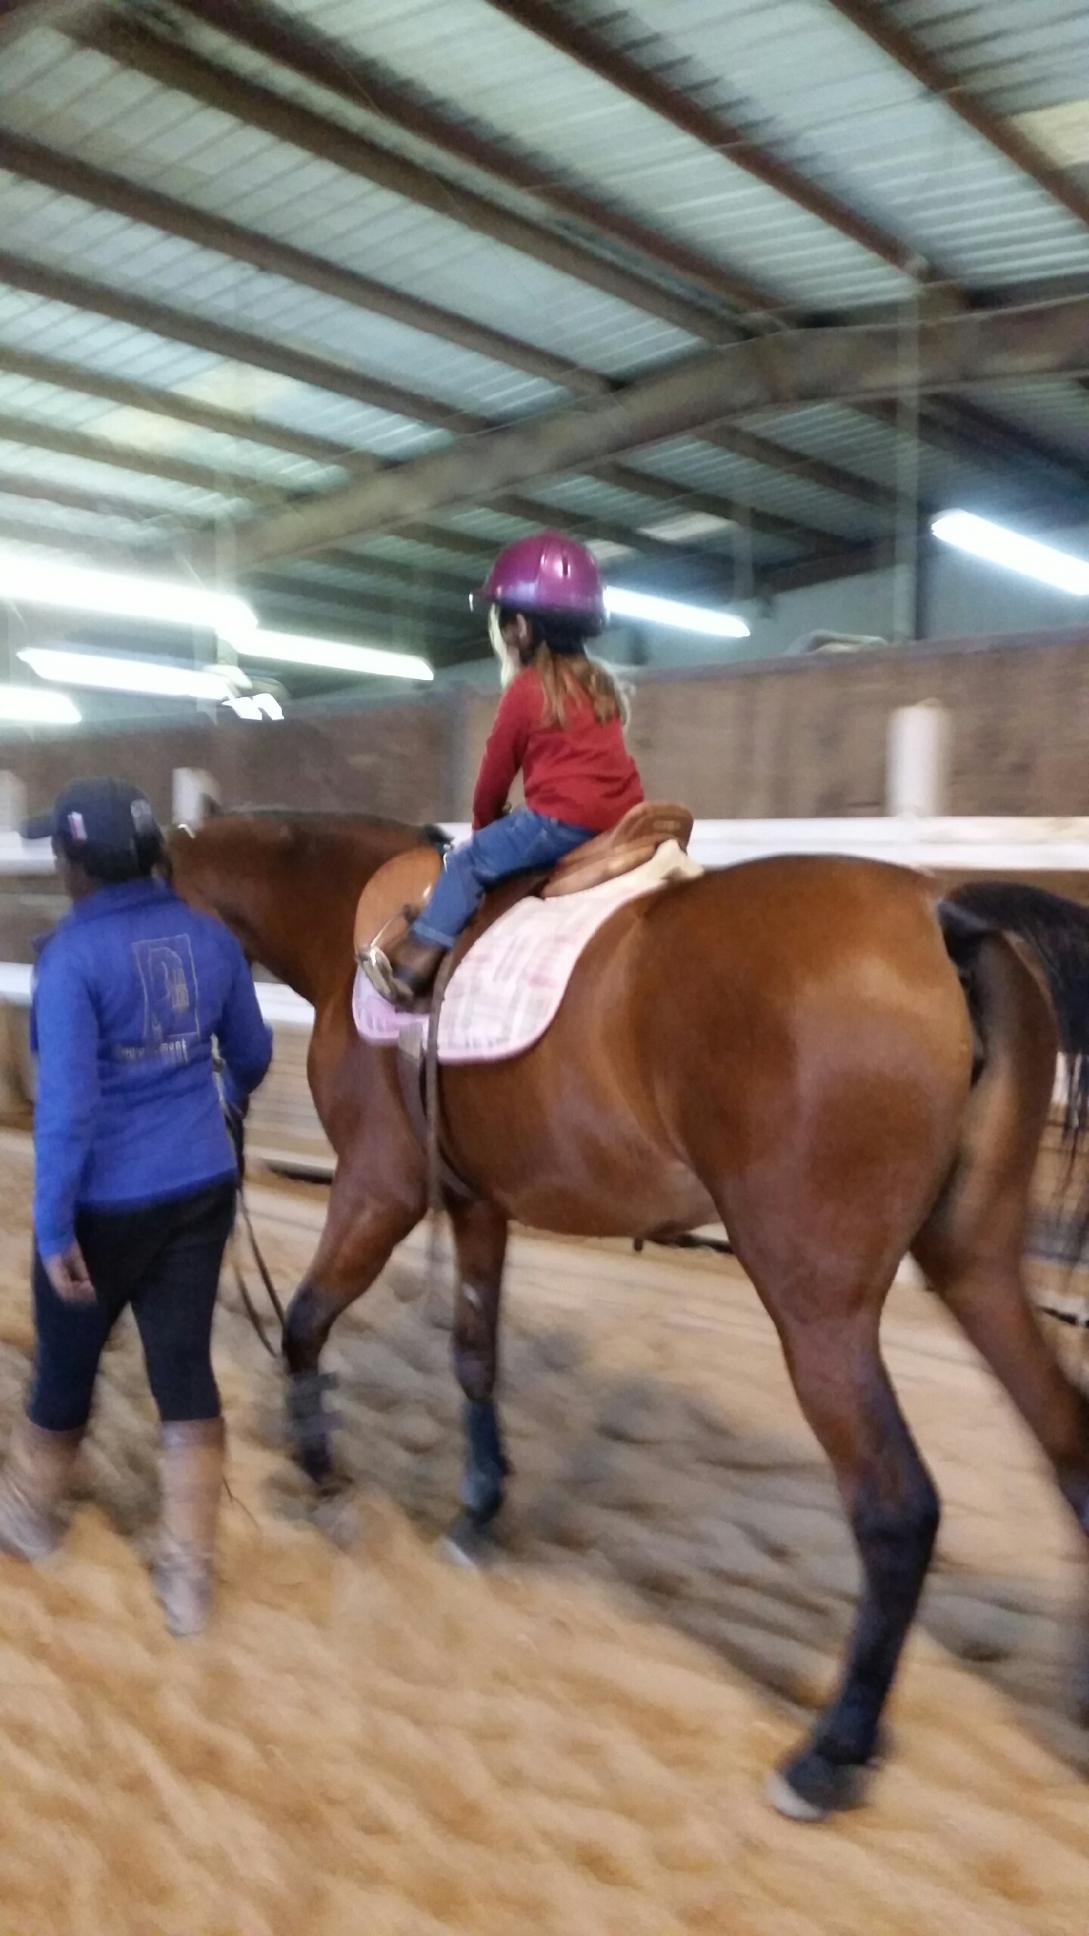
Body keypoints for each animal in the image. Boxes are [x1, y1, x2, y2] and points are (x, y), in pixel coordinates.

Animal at [168, 809, 1089, 1822]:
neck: (345, 915)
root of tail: (942, 914)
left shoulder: (379, 1192)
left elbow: (304, 1322)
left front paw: (323, 1478)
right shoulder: (477, 1205)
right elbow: (474, 1355)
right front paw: (477, 1513)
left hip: (819, 1308)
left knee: (896, 1509)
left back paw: (829, 1753)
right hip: (975, 1266)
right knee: (1068, 1445)